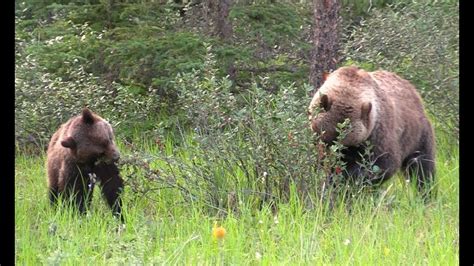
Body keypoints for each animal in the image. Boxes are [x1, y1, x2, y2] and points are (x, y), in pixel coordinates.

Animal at [308, 65, 436, 196]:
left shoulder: (377, 135)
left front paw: (349, 181)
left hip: (417, 136)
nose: (335, 162)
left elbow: (383, 164)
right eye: (328, 140)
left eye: (346, 145)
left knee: (421, 167)